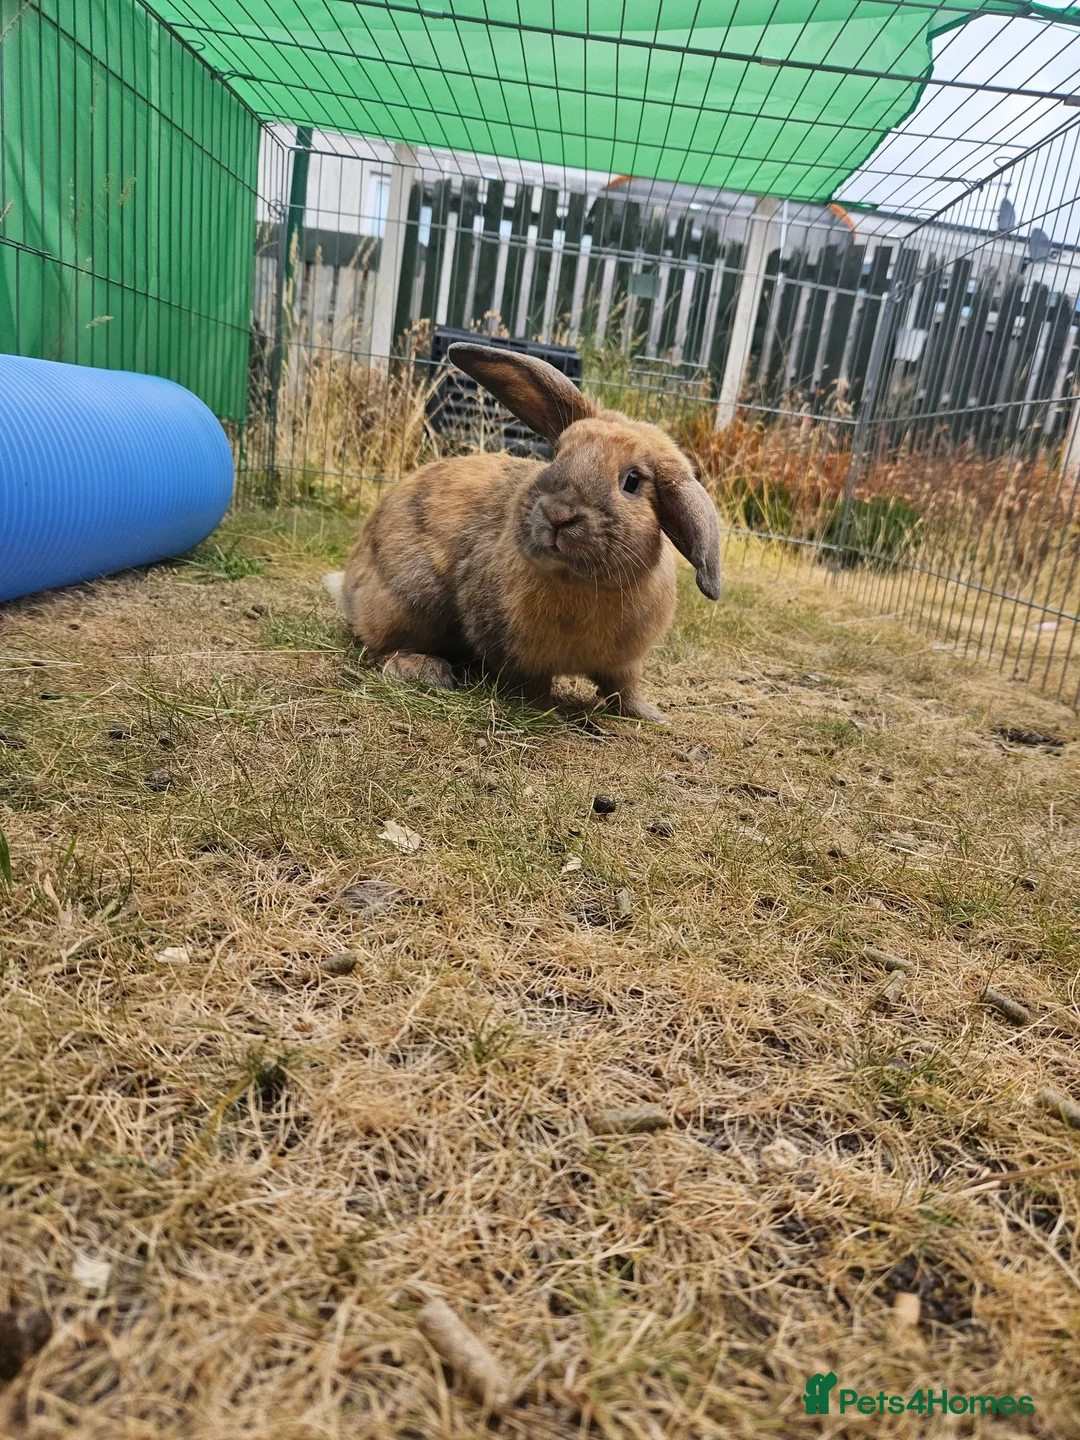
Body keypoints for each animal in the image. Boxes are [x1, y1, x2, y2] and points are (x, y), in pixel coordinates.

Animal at [324, 341, 721, 724]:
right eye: (558, 454)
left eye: (633, 481)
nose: (559, 515)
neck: (578, 582)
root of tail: (352, 583)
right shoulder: (520, 655)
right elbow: (532, 686)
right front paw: (548, 713)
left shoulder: (623, 664)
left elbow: (624, 690)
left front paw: (652, 716)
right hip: (412, 600)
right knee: (381, 646)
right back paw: (425, 669)